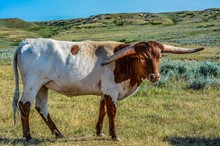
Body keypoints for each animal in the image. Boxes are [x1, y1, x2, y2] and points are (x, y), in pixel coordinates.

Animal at [12, 38, 204, 141]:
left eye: (159, 57)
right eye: (142, 57)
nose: (154, 76)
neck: (125, 62)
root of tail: (26, 42)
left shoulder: (105, 90)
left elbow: (102, 108)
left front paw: (100, 131)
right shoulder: (111, 90)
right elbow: (112, 111)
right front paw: (114, 135)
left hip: (43, 86)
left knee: (41, 107)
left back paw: (58, 134)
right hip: (32, 83)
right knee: (25, 105)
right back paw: (28, 136)